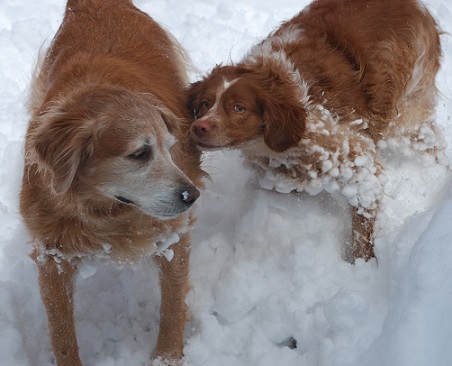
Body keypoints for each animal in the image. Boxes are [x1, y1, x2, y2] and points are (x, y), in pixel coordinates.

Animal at [20, 1, 204, 364]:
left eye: (169, 147)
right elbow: (61, 329)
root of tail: (99, 5)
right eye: (140, 153)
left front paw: (167, 356)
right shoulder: (53, 254)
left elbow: (173, 303)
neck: (105, 210)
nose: (193, 196)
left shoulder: (172, 235)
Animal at [188, 0, 444, 260]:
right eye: (205, 103)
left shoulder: (358, 163)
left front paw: (363, 263)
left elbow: (362, 226)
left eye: (239, 108)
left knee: (434, 144)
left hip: (405, 118)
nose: (199, 127)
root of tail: (414, 4)